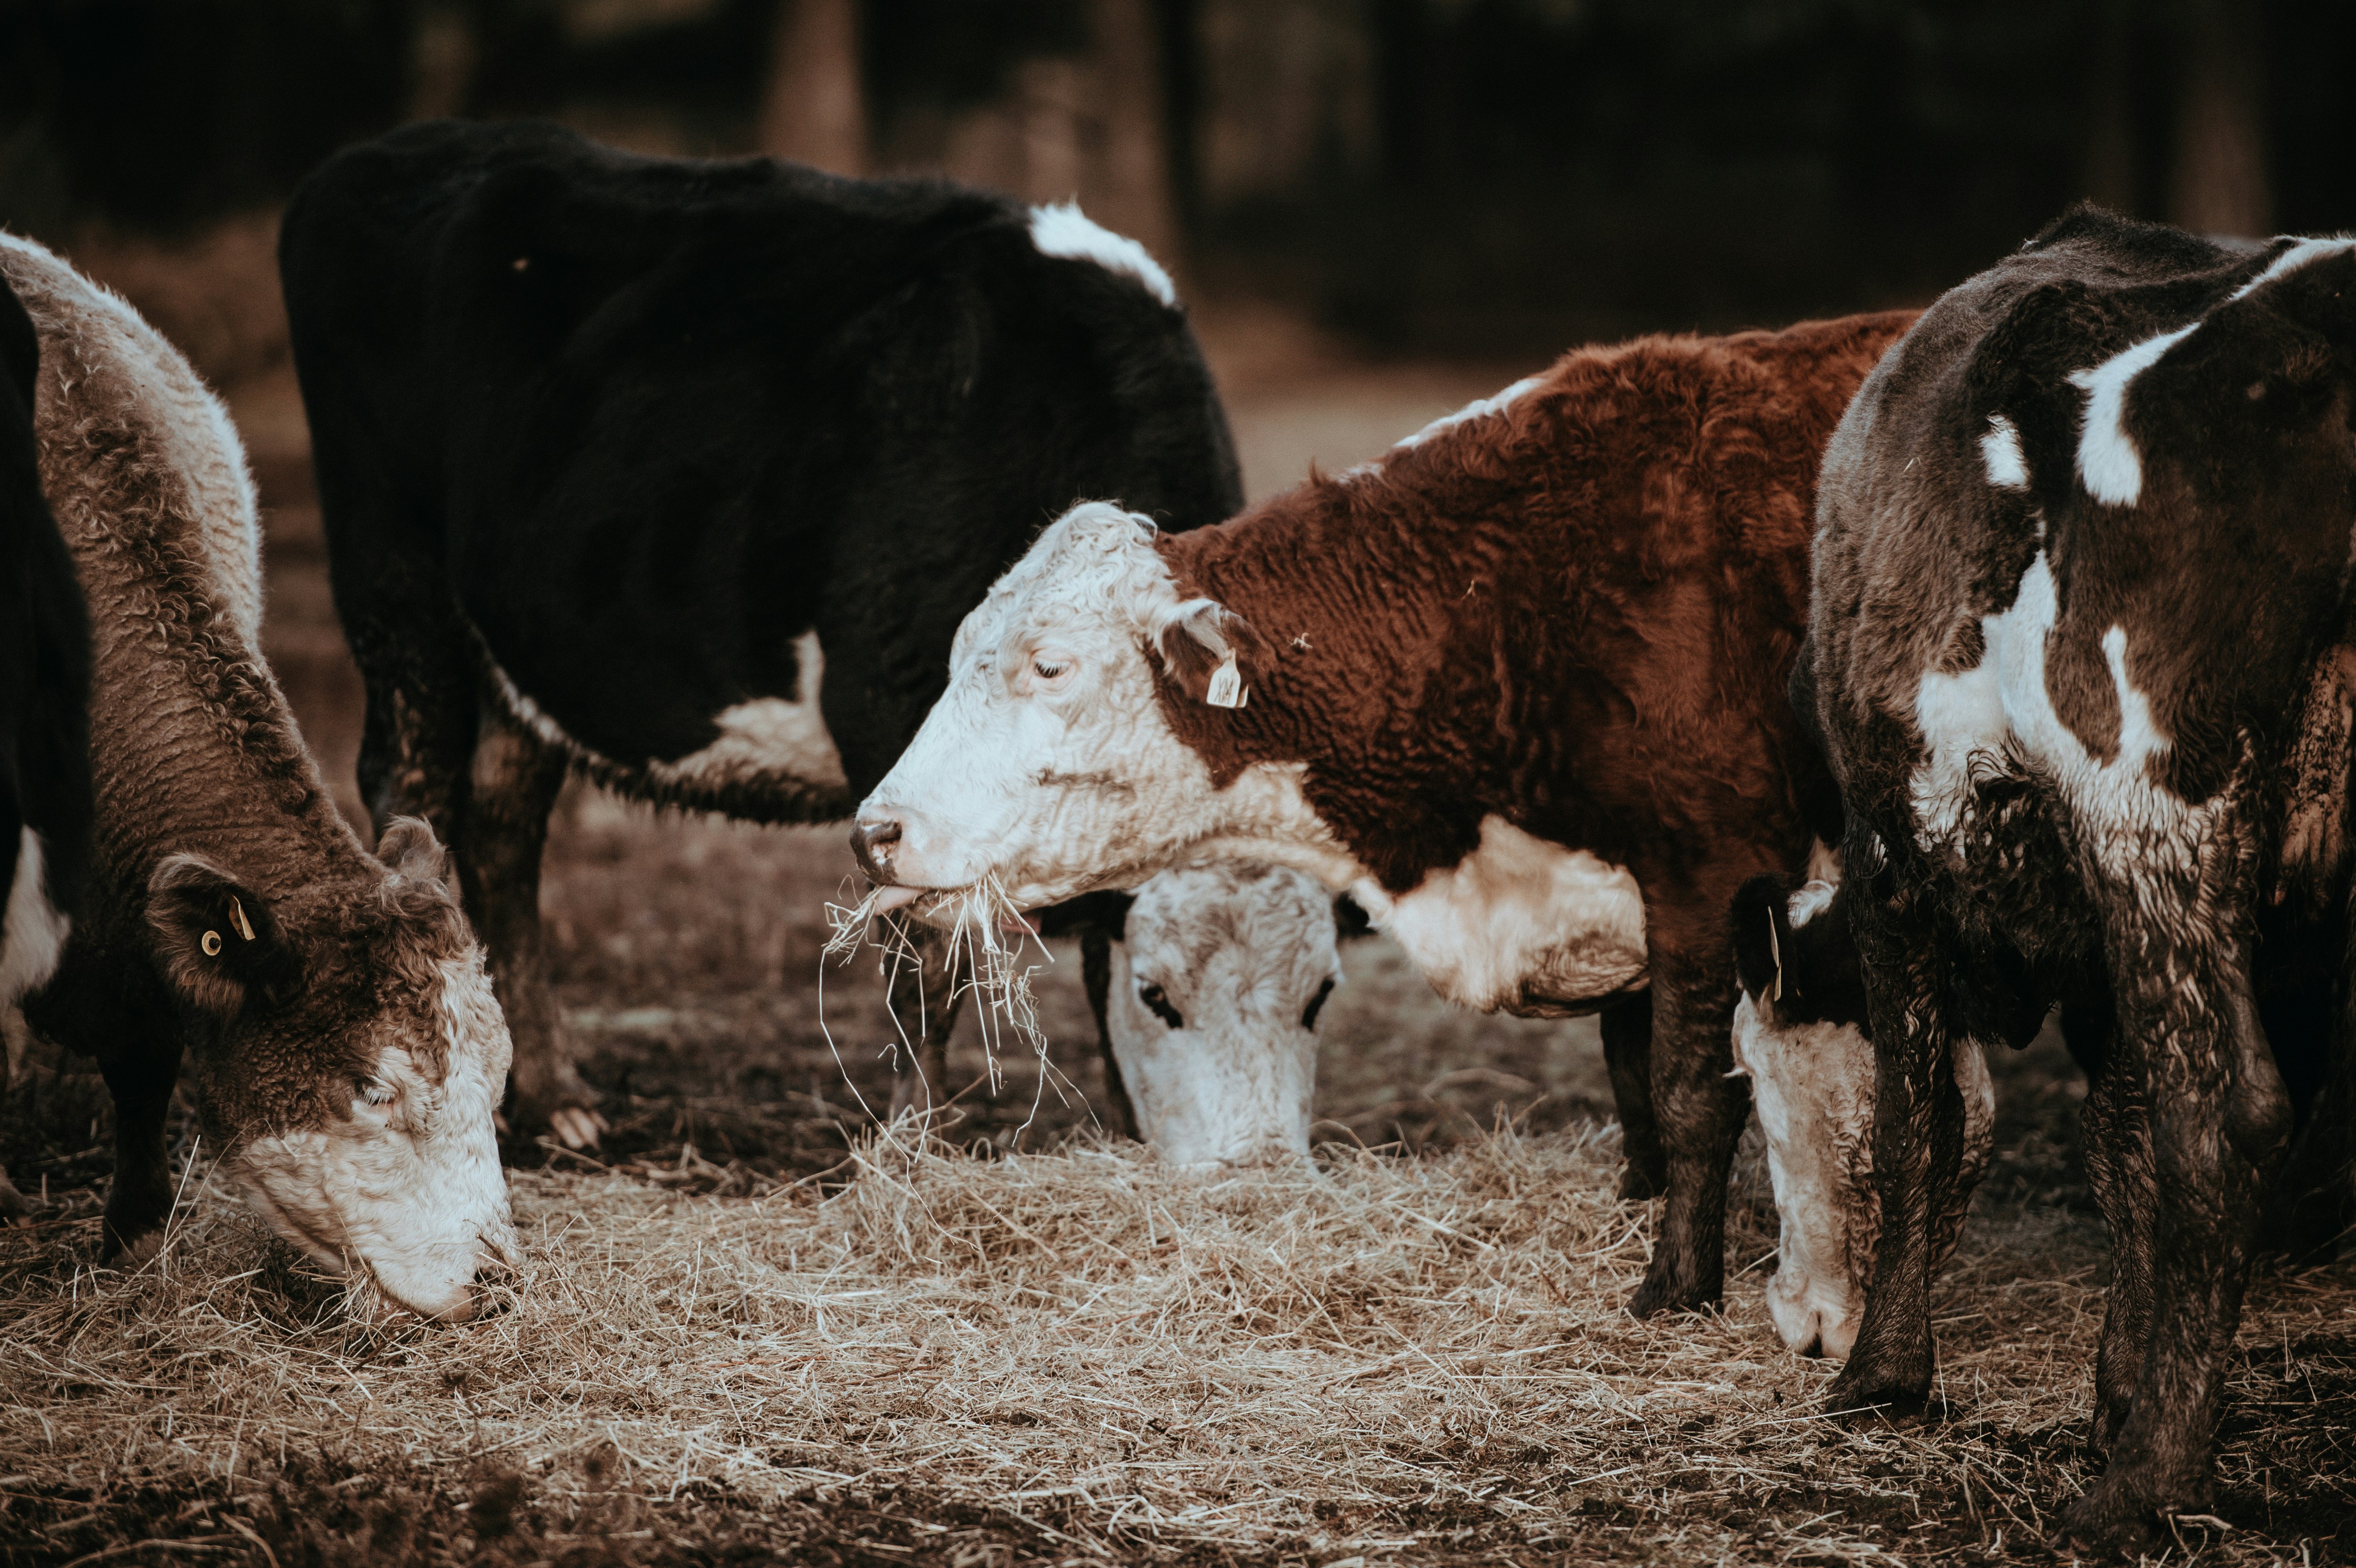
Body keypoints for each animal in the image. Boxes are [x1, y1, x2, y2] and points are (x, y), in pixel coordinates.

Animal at [280, 122, 1253, 1144]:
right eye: (1165, 998)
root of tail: (388, 151)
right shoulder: (887, 707)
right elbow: (922, 959)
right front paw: (911, 1140)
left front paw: (1129, 1126)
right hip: (393, 575)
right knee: (410, 783)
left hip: (515, 641)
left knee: (502, 821)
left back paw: (553, 1099)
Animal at [848, 306, 1913, 1309]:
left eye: (1050, 665)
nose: (874, 832)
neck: (1504, 605)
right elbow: (1631, 1073)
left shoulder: (1711, 871)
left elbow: (1689, 1090)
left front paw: (1675, 1287)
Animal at [1790, 207, 2356, 1554]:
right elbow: (2118, 1139)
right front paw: (2119, 1385)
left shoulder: (1891, 858)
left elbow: (1918, 1120)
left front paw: (1883, 1371)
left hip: (2153, 796)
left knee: (2228, 1114)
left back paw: (2143, 1488)